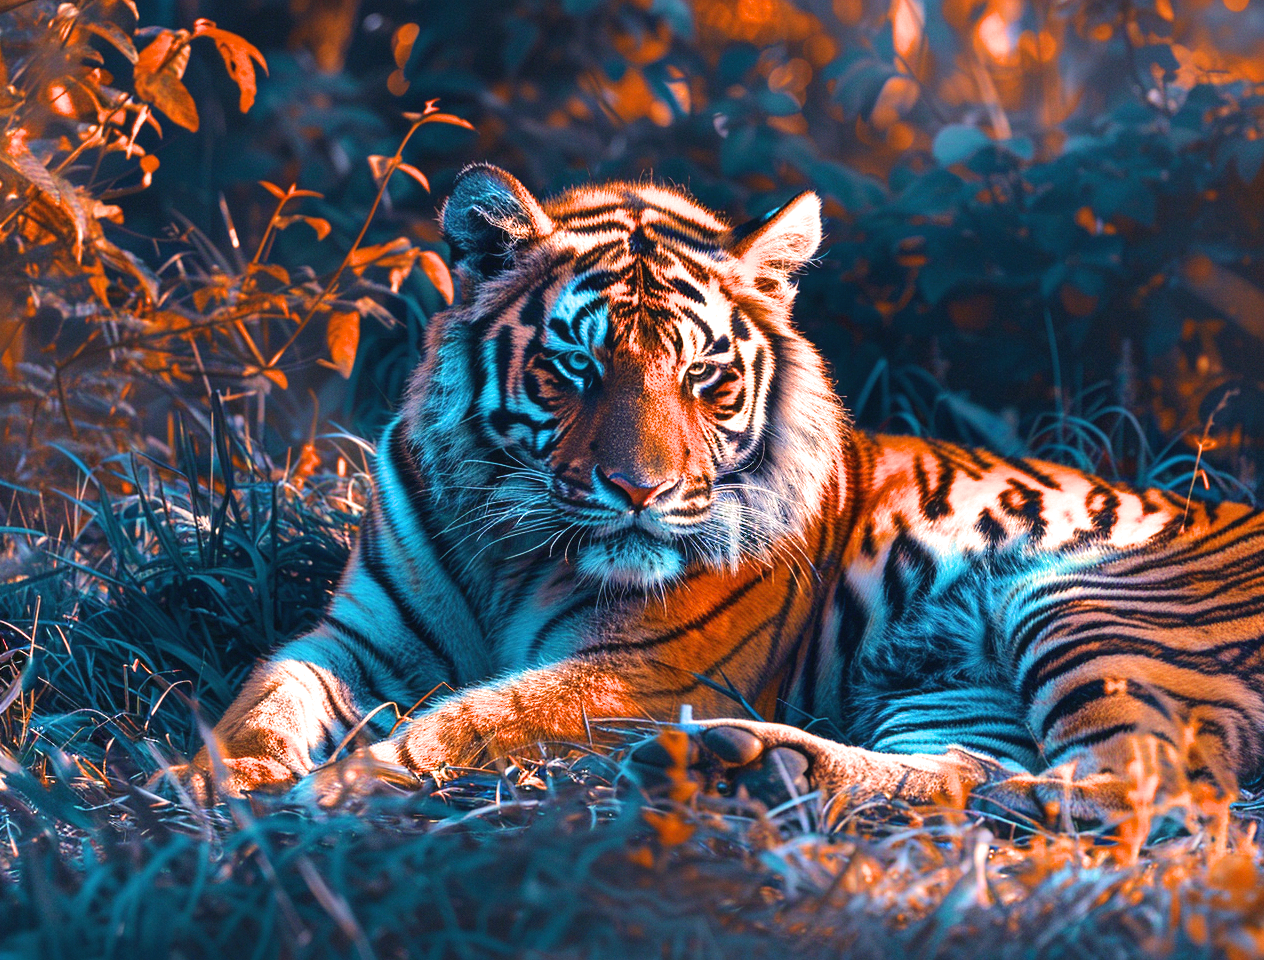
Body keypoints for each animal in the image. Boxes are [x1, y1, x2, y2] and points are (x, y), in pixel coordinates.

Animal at [183, 163, 1264, 834]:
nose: (640, 491)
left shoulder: (644, 673)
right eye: (573, 370)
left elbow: (472, 720)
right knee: (978, 773)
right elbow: (266, 696)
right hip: (949, 686)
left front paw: (344, 787)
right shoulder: (356, 639)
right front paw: (212, 777)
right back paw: (753, 770)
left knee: (1148, 793)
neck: (512, 554)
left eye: (704, 378)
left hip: (1082, 599)